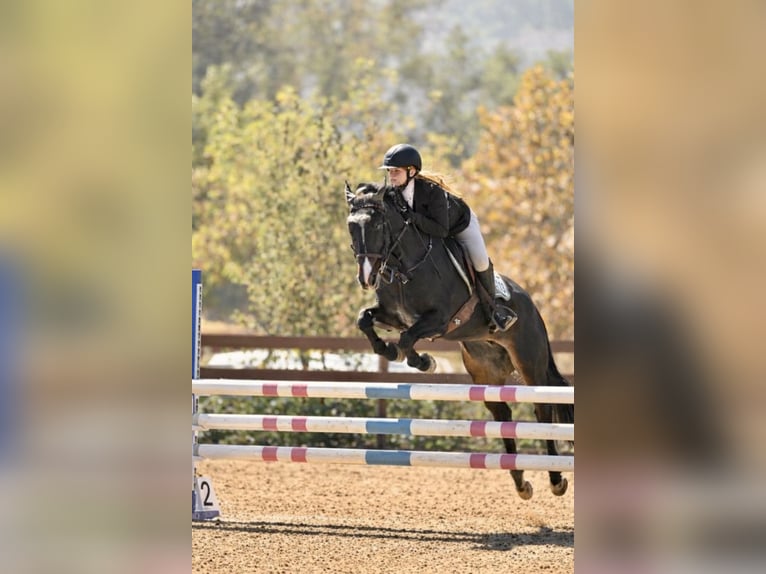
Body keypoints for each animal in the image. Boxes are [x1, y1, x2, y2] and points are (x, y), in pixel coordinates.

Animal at [345, 181, 574, 499]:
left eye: (377, 224)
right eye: (351, 226)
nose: (366, 278)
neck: (404, 265)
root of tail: (531, 304)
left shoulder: (438, 320)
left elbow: (407, 339)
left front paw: (424, 362)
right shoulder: (393, 316)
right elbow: (365, 319)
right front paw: (387, 351)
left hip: (530, 362)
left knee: (543, 410)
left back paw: (555, 480)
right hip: (486, 373)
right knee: (502, 415)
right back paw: (520, 482)